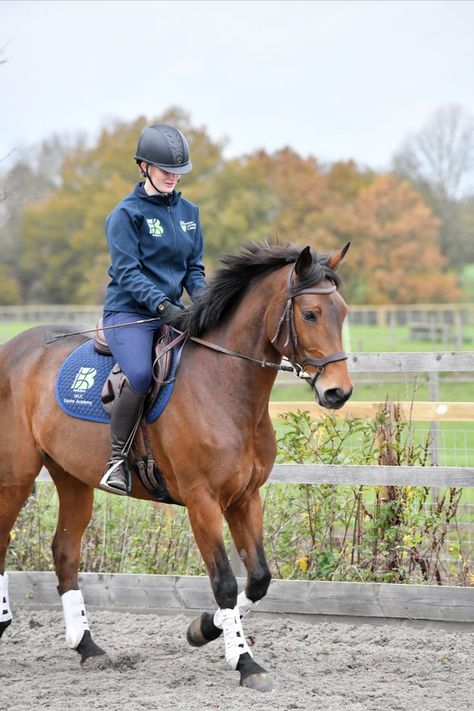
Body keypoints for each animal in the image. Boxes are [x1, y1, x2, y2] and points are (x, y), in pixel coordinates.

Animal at [0, 242, 352, 692]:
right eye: (310, 314)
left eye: (342, 312)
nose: (338, 393)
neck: (225, 386)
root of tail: (13, 349)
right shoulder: (203, 502)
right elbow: (224, 582)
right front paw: (244, 661)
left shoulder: (245, 497)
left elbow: (258, 579)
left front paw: (202, 628)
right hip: (15, 476)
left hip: (72, 477)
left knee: (65, 552)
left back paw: (88, 647)